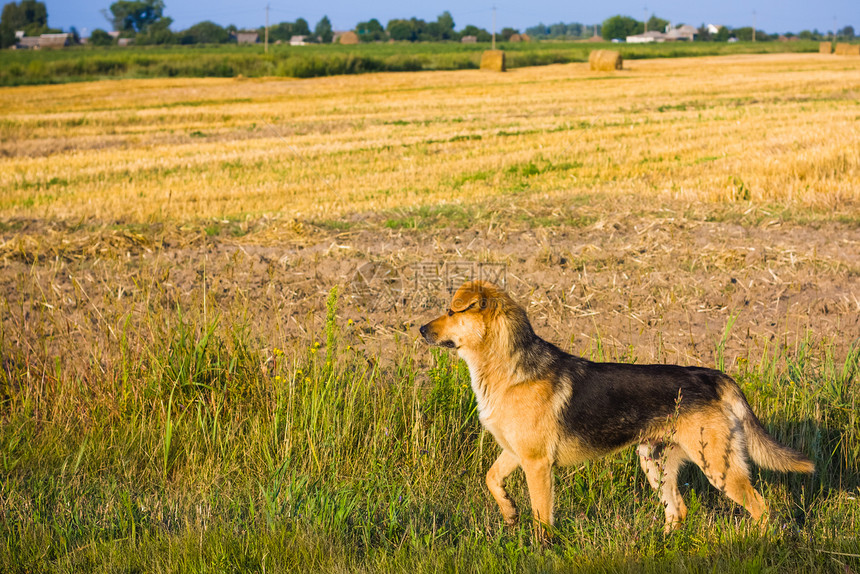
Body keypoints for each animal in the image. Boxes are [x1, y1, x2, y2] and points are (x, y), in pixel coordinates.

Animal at [420, 282, 816, 544]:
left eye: (452, 311)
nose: (420, 329)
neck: (508, 367)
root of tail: (711, 376)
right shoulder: (516, 453)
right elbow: (491, 479)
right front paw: (509, 512)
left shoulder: (536, 463)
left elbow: (542, 516)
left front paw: (541, 549)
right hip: (654, 463)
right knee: (678, 510)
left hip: (718, 467)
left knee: (760, 507)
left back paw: (759, 543)